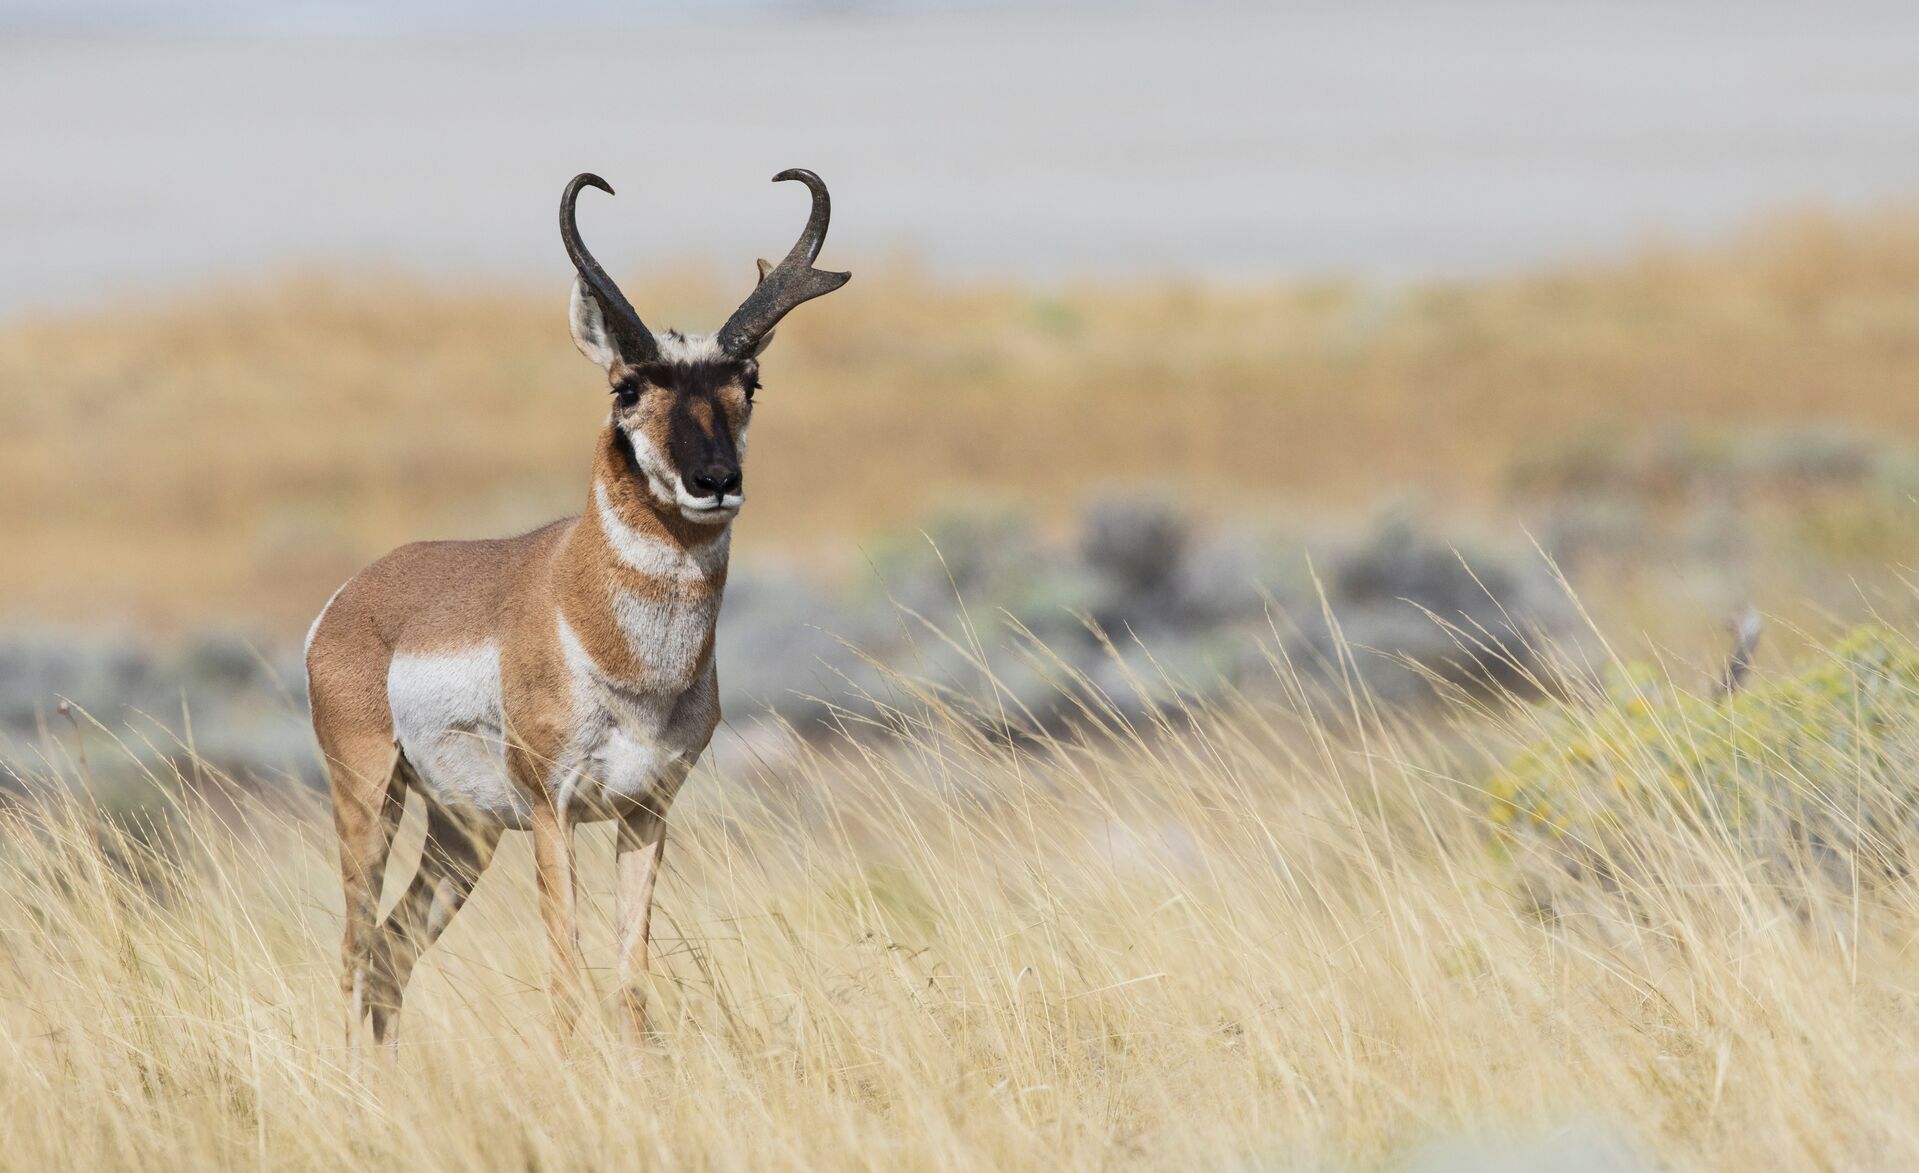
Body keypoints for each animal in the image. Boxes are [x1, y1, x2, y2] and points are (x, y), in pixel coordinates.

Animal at [304, 169, 849, 1051]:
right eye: (627, 387)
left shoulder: (647, 813)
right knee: (355, 948)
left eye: (749, 385)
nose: (714, 480)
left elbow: (630, 978)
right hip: (371, 795)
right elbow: (566, 976)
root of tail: (352, 595)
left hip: (464, 831)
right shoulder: (552, 810)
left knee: (389, 949)